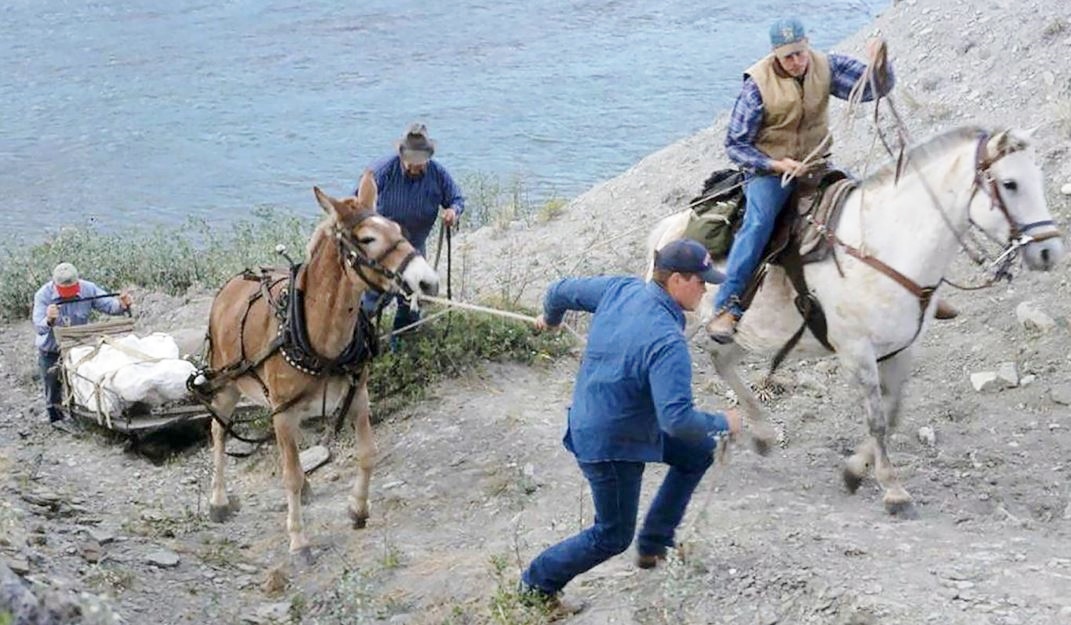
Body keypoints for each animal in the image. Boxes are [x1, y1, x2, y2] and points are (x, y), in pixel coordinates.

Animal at [646, 124, 1066, 515]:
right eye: (1010, 184)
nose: (1049, 251)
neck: (884, 246)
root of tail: (667, 229)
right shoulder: (857, 353)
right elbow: (877, 419)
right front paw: (893, 491)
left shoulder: (901, 350)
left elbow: (892, 414)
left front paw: (854, 472)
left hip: (747, 334)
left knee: (722, 361)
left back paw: (763, 434)